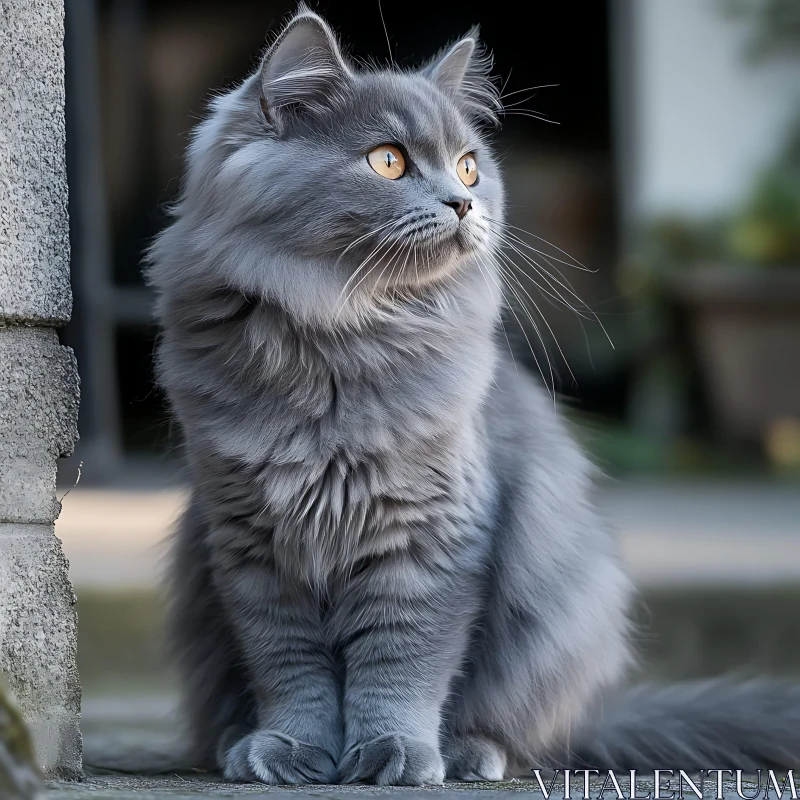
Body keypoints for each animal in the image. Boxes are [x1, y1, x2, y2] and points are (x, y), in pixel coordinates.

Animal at [147, 3, 796, 784]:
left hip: (562, 608)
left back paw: (466, 752)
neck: (343, 333)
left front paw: (395, 754)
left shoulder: (429, 536)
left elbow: (402, 662)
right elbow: (289, 667)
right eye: (388, 161)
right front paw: (292, 748)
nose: (462, 203)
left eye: (469, 166)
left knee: (513, 728)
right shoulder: (253, 545)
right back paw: (234, 743)